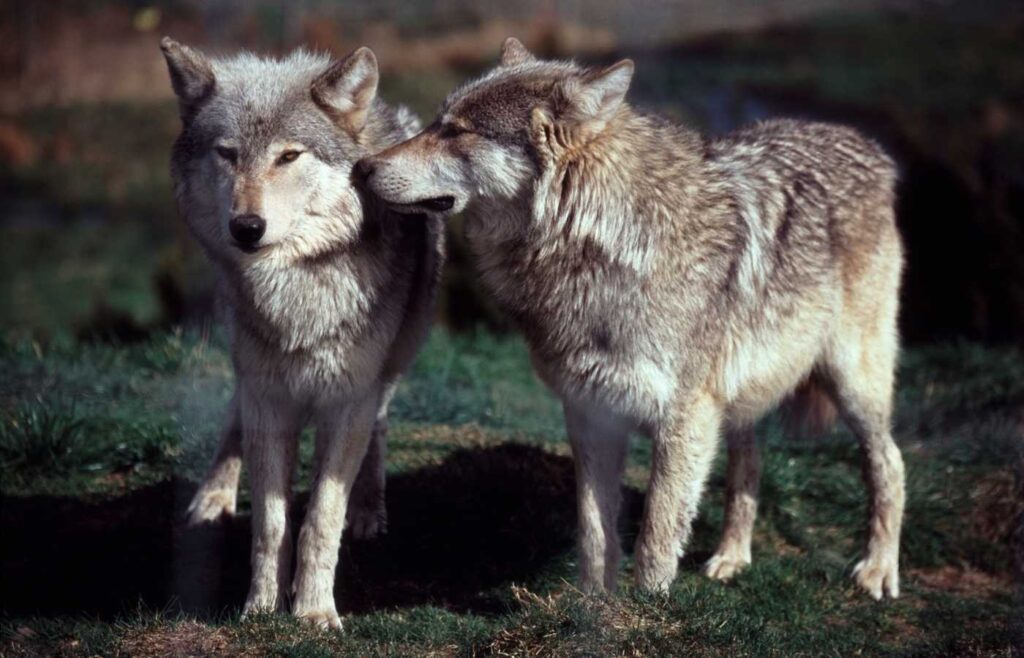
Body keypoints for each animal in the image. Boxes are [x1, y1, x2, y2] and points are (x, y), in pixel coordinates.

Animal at [162, 39, 444, 626]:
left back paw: (369, 510)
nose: (246, 228)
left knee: (379, 424)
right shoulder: (268, 395)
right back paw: (212, 498)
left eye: (289, 156)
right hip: (247, 360)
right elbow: (271, 523)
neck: (296, 289)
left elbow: (321, 519)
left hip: (394, 359)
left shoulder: (349, 398)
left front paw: (313, 611)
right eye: (227, 154)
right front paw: (262, 607)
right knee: (233, 416)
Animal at [358, 38, 905, 601]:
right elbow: (596, 532)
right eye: (436, 121)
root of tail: (865, 144)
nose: (361, 168)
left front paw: (649, 605)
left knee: (890, 463)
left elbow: (656, 536)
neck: (598, 248)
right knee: (748, 464)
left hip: (851, 383)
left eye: (457, 130)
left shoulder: (683, 420)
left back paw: (878, 570)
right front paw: (593, 604)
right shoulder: (590, 412)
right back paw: (732, 558)